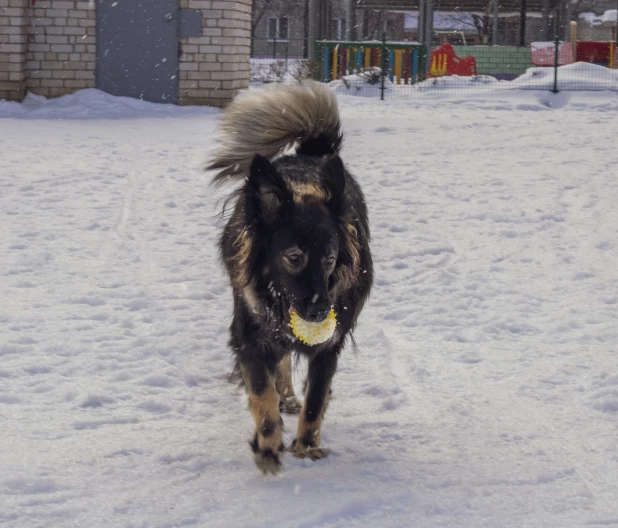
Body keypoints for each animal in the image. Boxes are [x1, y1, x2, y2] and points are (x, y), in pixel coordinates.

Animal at [206, 82, 370, 474]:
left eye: (329, 259)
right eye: (293, 257)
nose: (319, 312)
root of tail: (311, 154)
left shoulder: (330, 344)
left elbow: (317, 398)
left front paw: (307, 446)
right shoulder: (250, 334)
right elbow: (261, 392)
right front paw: (268, 446)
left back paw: (291, 399)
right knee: (279, 359)